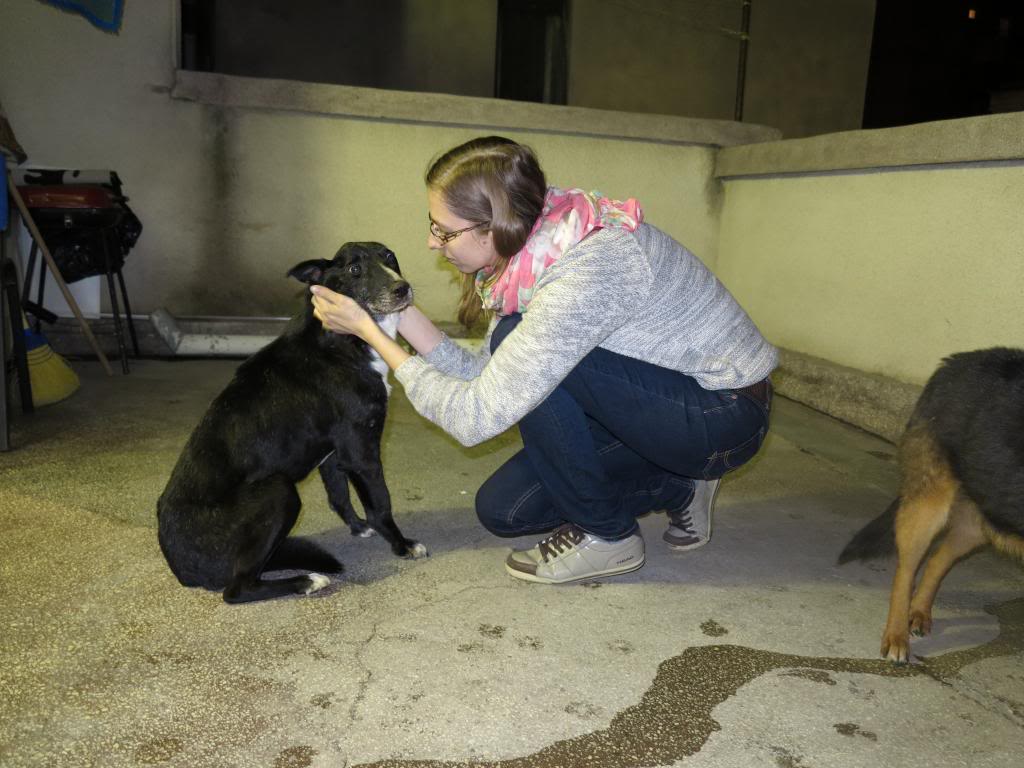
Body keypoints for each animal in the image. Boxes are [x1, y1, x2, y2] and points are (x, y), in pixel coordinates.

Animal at [154, 240, 423, 602]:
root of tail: (180, 567)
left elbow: (339, 496)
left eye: (390, 258)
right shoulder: (361, 450)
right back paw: (307, 581)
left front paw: (358, 528)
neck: (339, 340)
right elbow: (380, 504)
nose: (402, 289)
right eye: (355, 269)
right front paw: (402, 545)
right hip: (279, 491)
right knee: (236, 589)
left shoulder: (335, 454)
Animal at [839, 348, 1024, 663]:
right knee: (905, 571)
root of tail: (954, 361)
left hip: (979, 521)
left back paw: (919, 611)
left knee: (937, 560)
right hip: (928, 508)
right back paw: (896, 635)